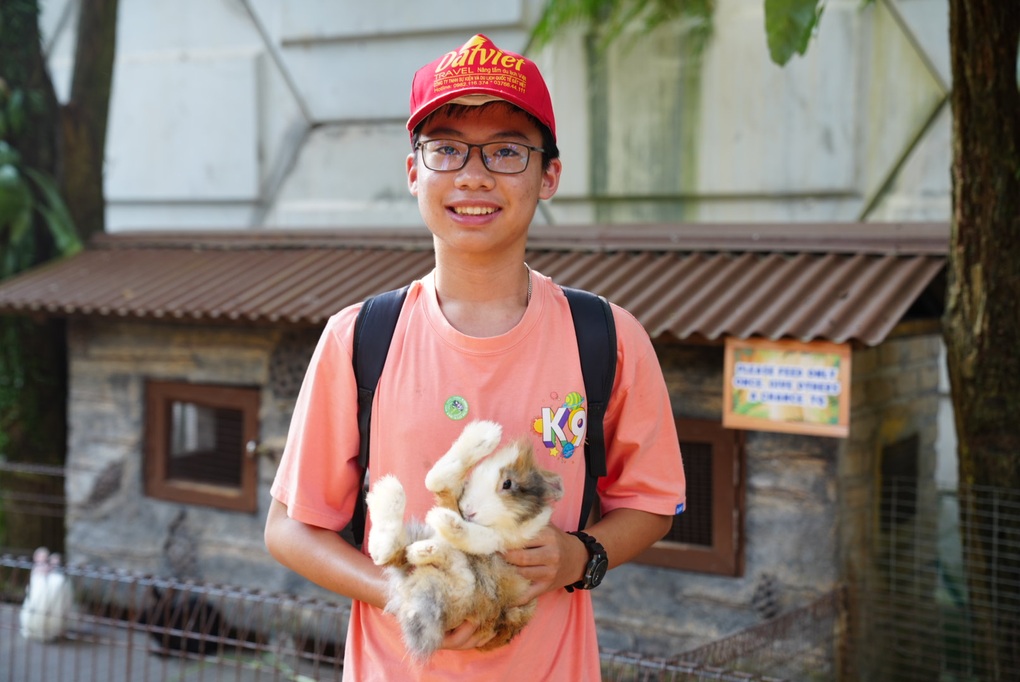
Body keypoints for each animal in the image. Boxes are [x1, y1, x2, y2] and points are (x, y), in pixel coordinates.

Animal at [365, 417, 563, 660]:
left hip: (474, 596)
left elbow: (479, 536)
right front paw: (485, 435)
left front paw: (442, 519)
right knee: (387, 553)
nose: (468, 510)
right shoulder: (453, 498)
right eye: (481, 471)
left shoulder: (507, 541)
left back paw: (422, 544)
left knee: (447, 570)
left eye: (507, 484)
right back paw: (388, 494)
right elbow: (435, 480)